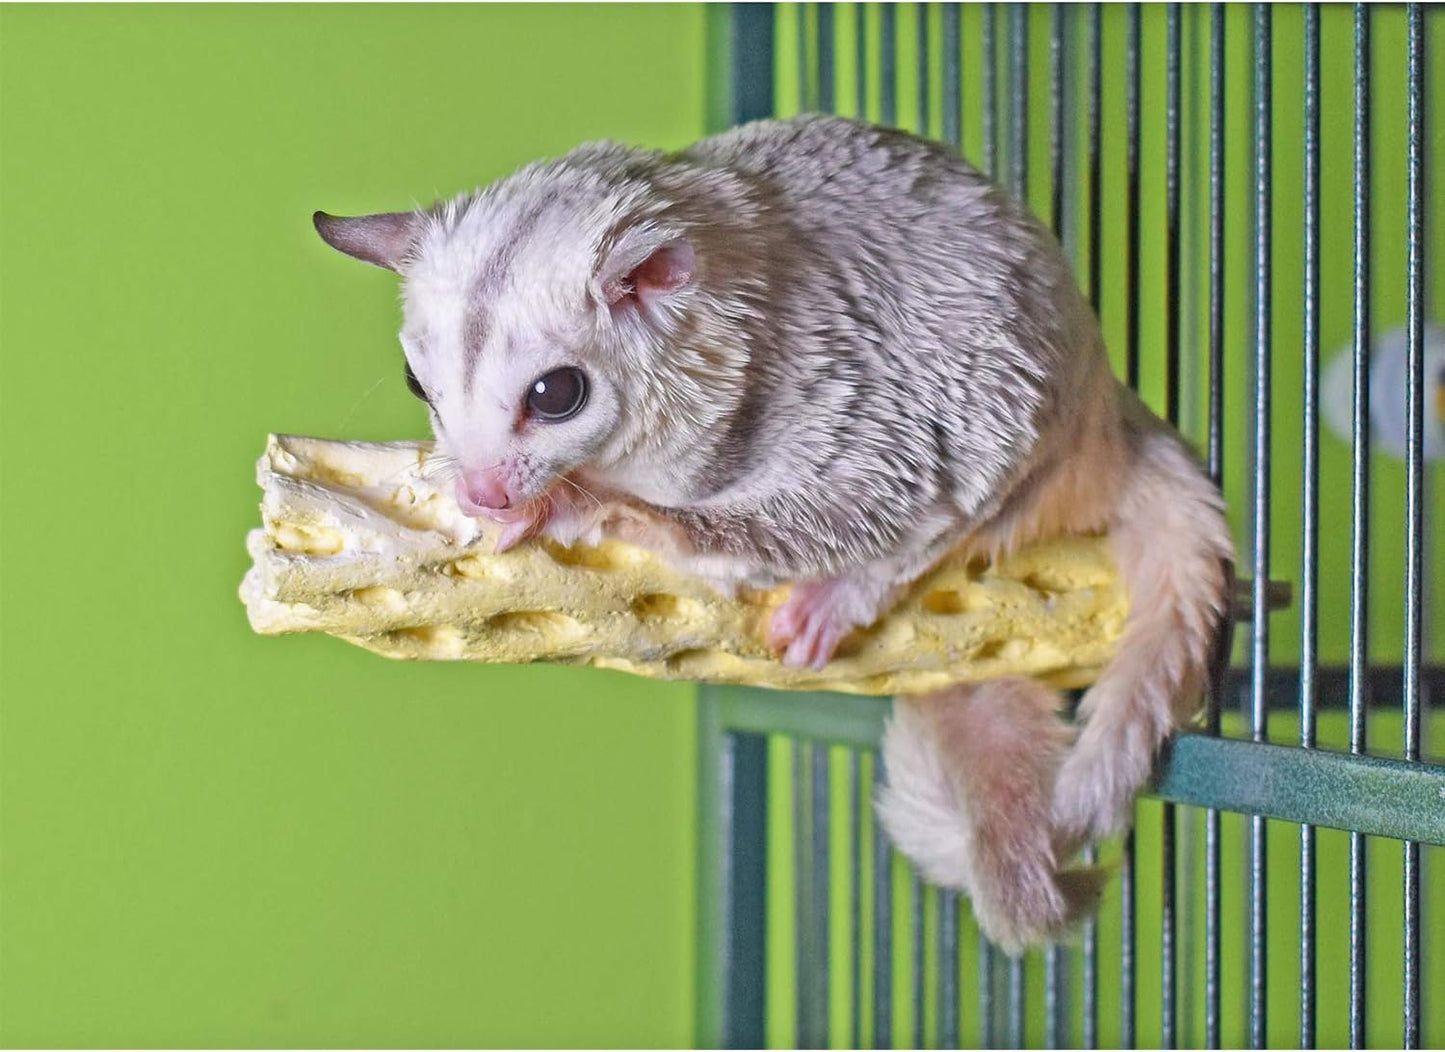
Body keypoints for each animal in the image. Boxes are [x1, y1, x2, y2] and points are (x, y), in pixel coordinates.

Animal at [314, 114, 1233, 951]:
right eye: (417, 384)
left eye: (556, 394)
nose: (485, 492)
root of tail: (1107, 407)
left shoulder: (845, 397)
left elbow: (858, 506)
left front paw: (582, 510)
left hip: (1019, 420)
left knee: (954, 512)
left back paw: (840, 597)